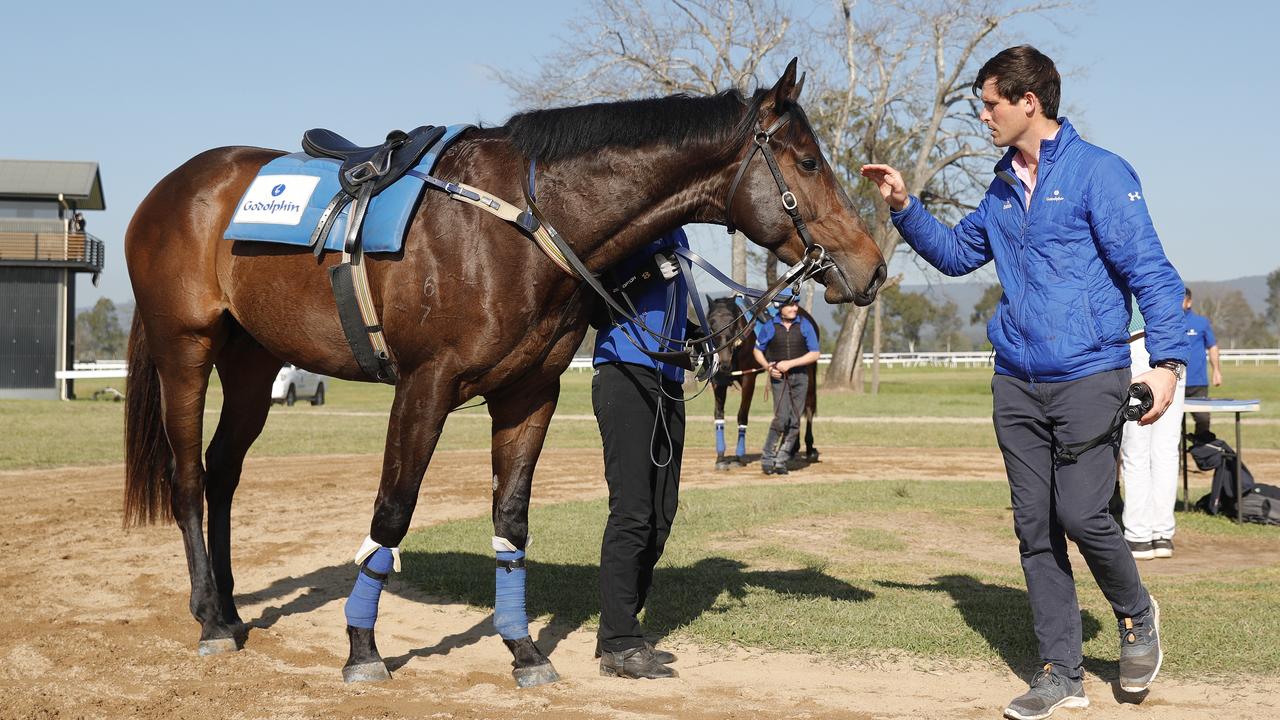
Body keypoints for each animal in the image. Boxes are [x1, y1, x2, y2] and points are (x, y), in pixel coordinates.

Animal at [701, 294, 819, 468]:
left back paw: (809, 449)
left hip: (807, 369)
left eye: (732, 322)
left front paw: (739, 456)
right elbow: (719, 415)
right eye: (711, 323)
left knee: (808, 405)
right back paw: (791, 449)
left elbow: (742, 415)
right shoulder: (719, 382)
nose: (724, 362)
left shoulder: (749, 378)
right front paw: (721, 458)